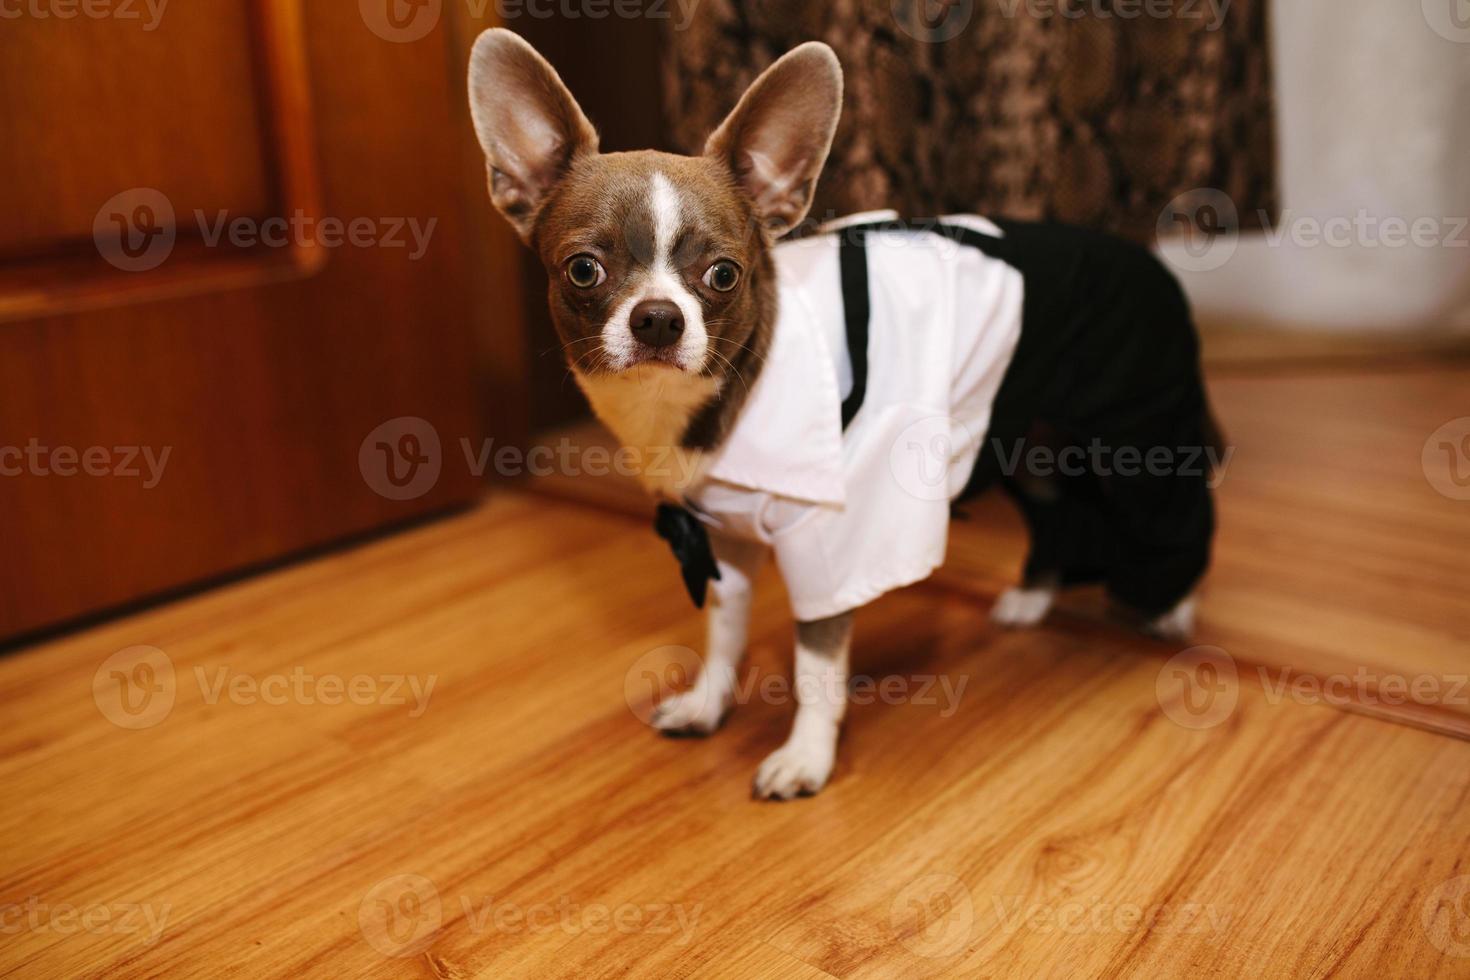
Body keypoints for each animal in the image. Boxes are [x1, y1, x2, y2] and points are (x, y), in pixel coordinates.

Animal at [467, 28, 1217, 799]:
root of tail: (1146, 254)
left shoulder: (829, 543)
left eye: (724, 275)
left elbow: (817, 667)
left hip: (1138, 437)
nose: (657, 317)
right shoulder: (723, 541)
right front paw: (709, 704)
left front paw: (806, 757)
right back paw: (1033, 599)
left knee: (1176, 513)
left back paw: (1172, 610)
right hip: (1029, 441)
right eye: (583, 269)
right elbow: (725, 633)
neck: (696, 407)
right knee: (1058, 513)